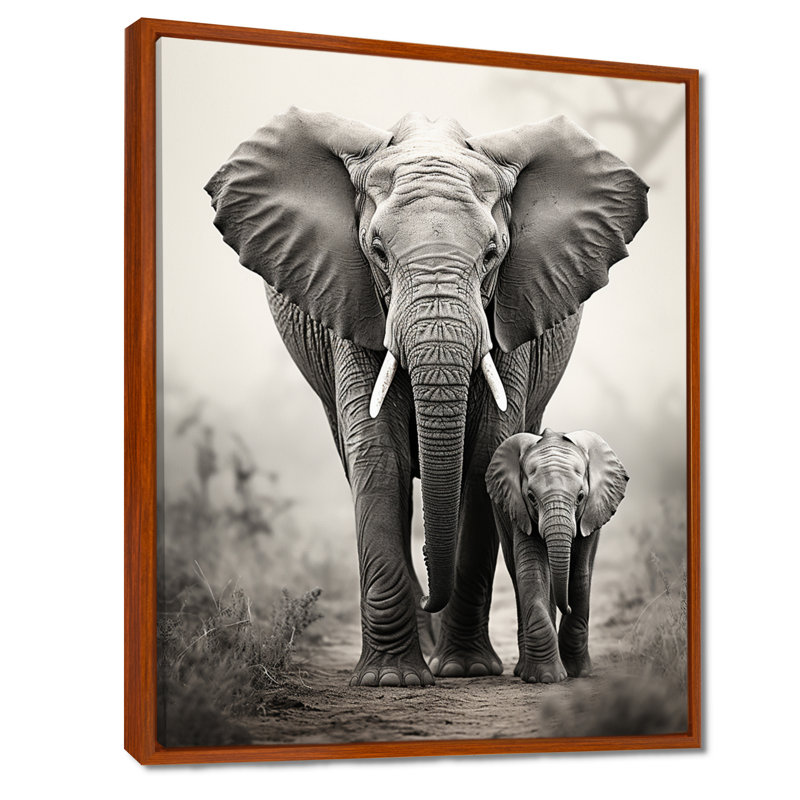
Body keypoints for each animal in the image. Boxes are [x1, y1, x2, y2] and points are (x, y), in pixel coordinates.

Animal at [485, 429, 629, 683]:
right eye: (531, 497)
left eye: (580, 497)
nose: (567, 607)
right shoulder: (520, 512)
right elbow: (532, 572)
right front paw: (545, 677)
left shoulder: (590, 513)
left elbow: (580, 575)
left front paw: (578, 673)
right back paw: (523, 671)